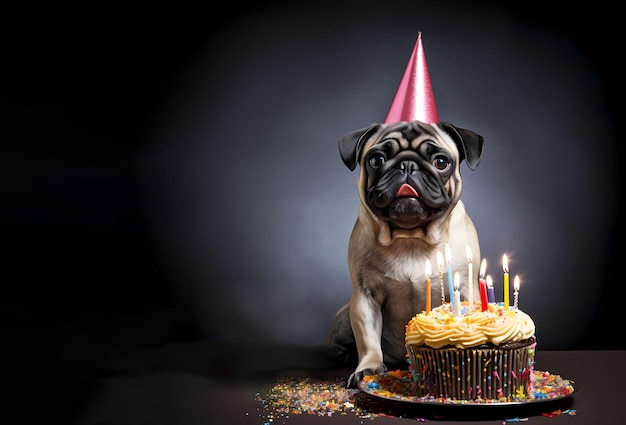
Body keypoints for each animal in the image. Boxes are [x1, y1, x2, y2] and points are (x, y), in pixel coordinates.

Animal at [326, 119, 482, 388]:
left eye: (441, 162)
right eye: (376, 159)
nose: (407, 164)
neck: (410, 238)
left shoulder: (465, 287)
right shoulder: (365, 296)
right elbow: (367, 338)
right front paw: (368, 368)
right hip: (344, 319)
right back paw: (346, 356)